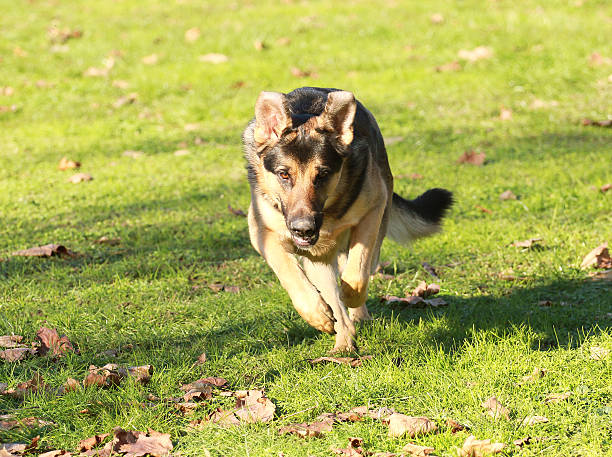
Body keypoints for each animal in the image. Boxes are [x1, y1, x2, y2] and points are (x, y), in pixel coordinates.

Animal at [241, 86, 452, 352]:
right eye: (283, 174)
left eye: (323, 175)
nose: (304, 230)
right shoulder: (261, 232)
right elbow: (289, 271)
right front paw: (317, 315)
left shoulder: (373, 211)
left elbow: (356, 275)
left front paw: (351, 296)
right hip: (317, 260)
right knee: (332, 299)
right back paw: (342, 342)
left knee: (356, 273)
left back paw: (354, 320)